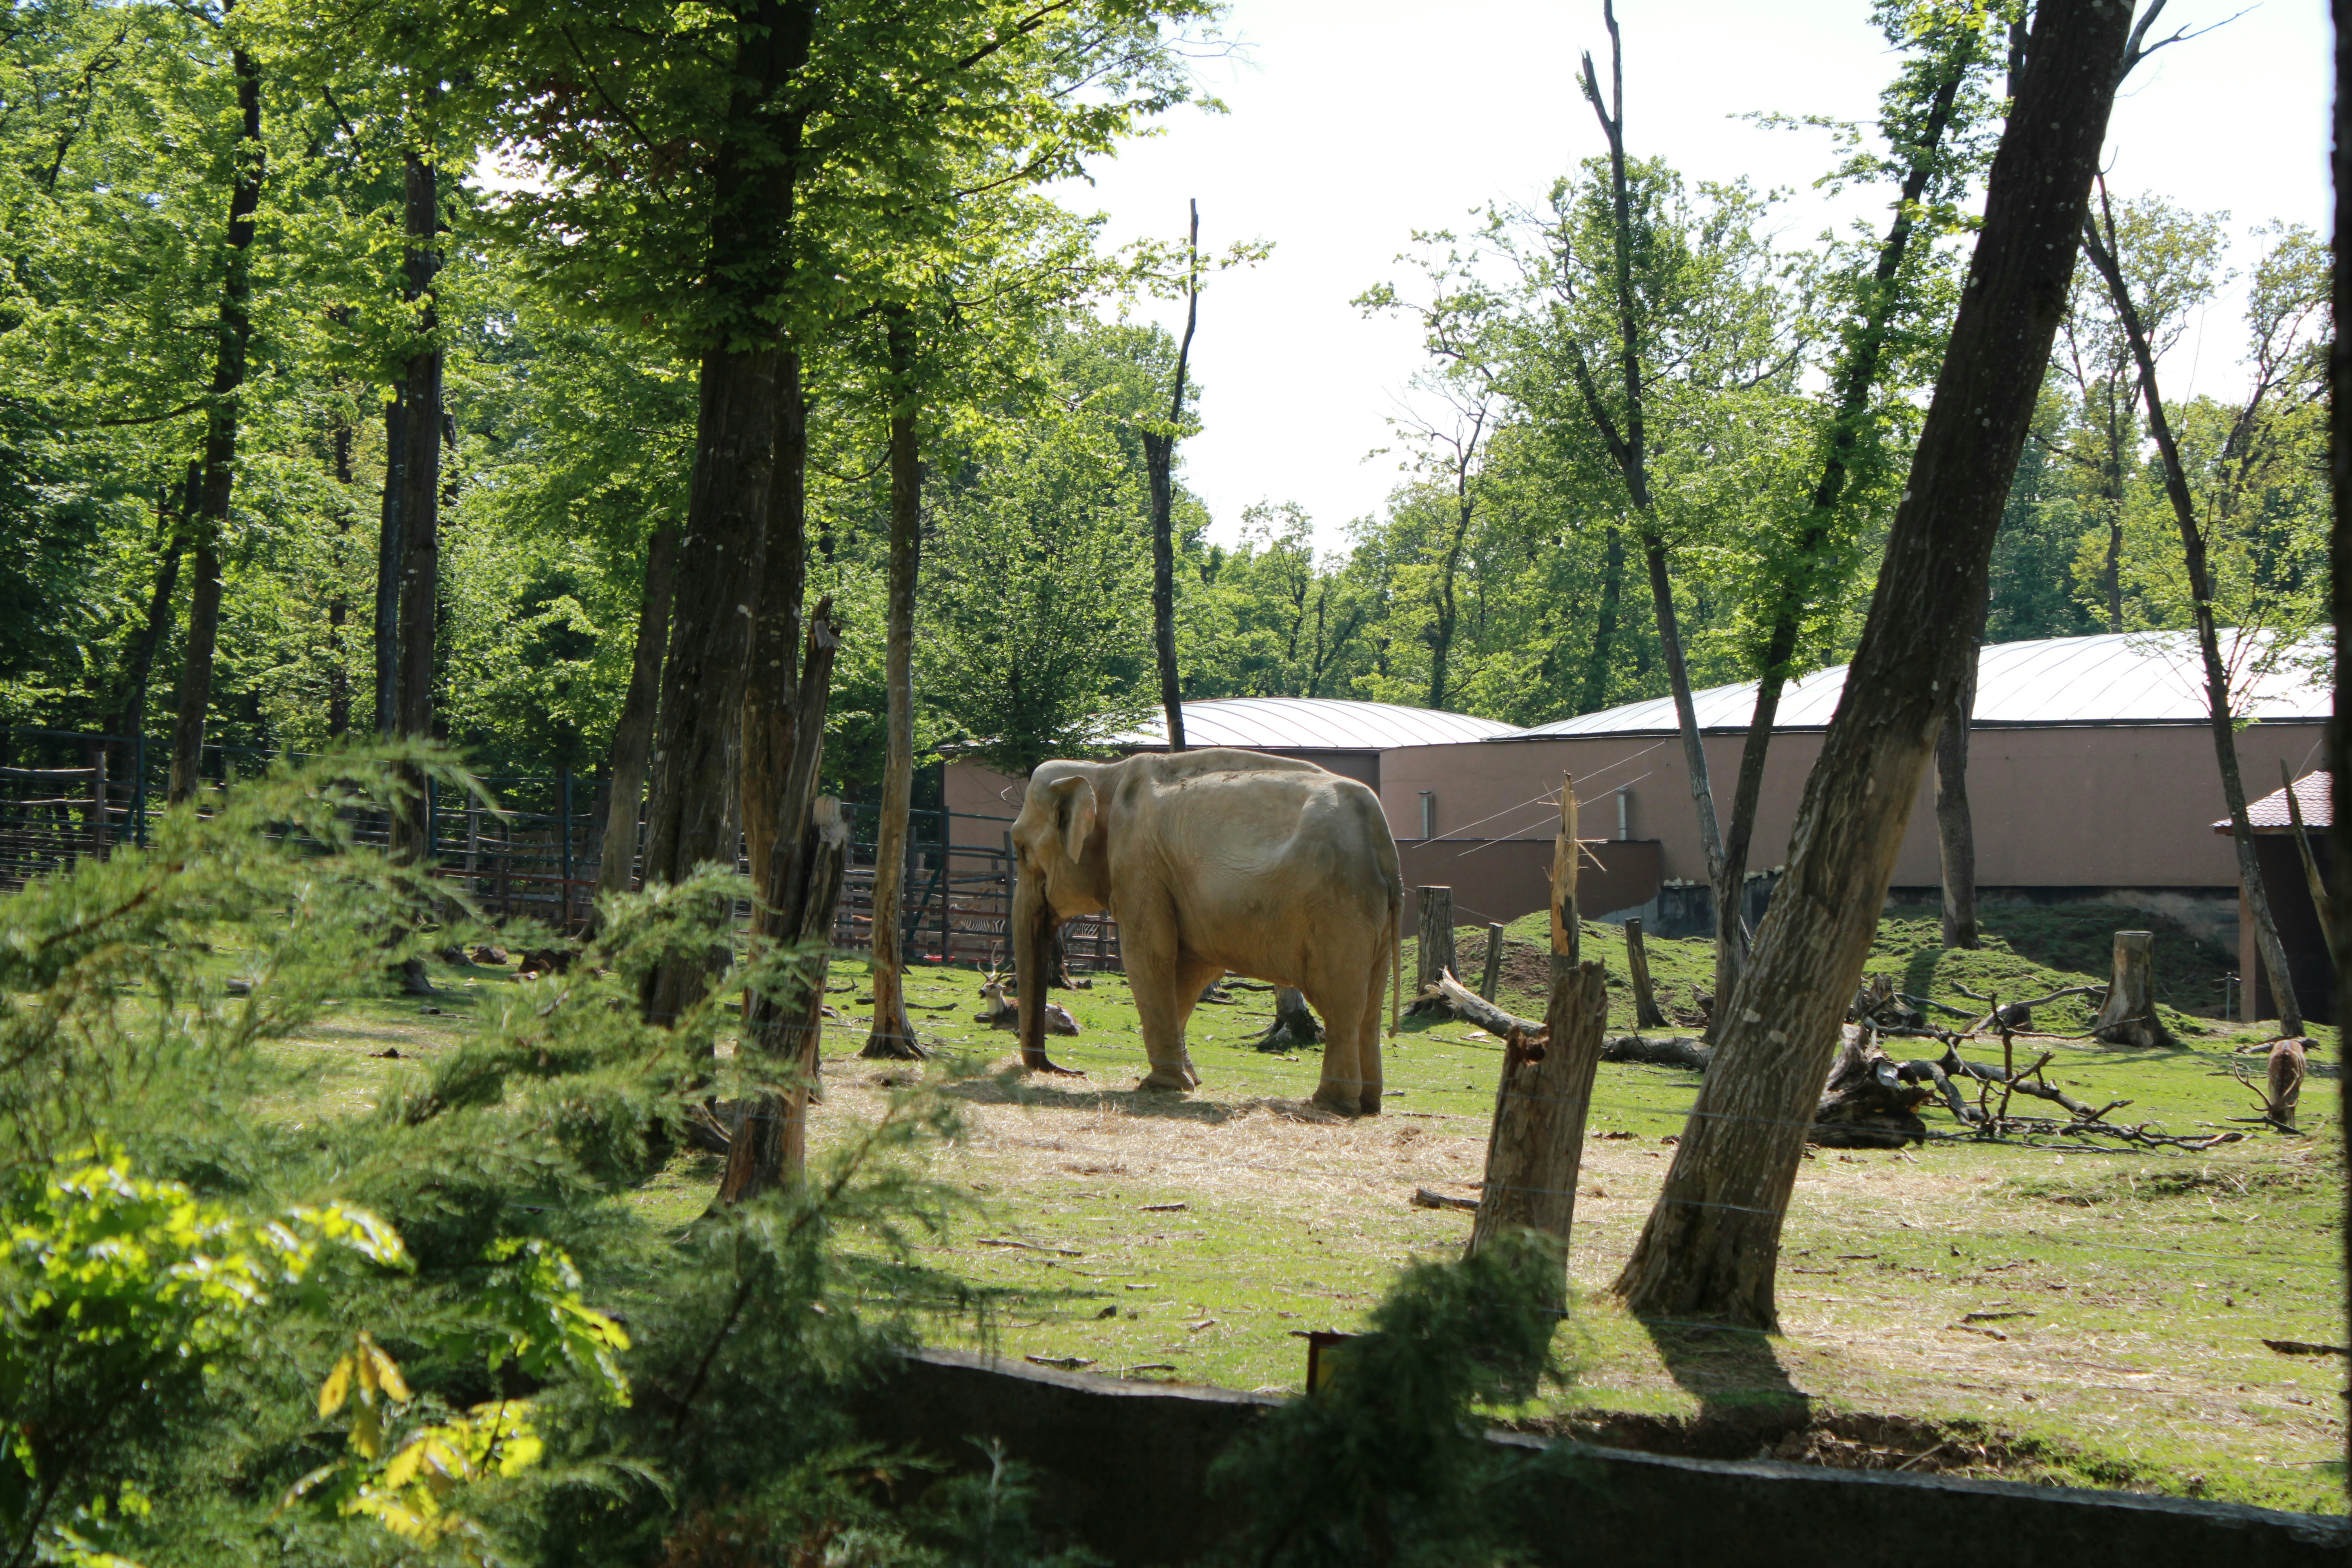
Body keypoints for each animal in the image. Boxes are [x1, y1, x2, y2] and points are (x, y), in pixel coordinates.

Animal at [1008, 748, 1404, 1116]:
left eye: (1021, 850)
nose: (1069, 1071)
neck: (1103, 773)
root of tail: (1384, 840)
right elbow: (1190, 970)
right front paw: (1188, 1080)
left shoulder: (1138, 862)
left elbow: (1148, 956)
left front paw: (1162, 1085)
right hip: (1372, 913)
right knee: (1369, 1009)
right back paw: (1369, 1105)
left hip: (1337, 907)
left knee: (1341, 1005)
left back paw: (1330, 1106)